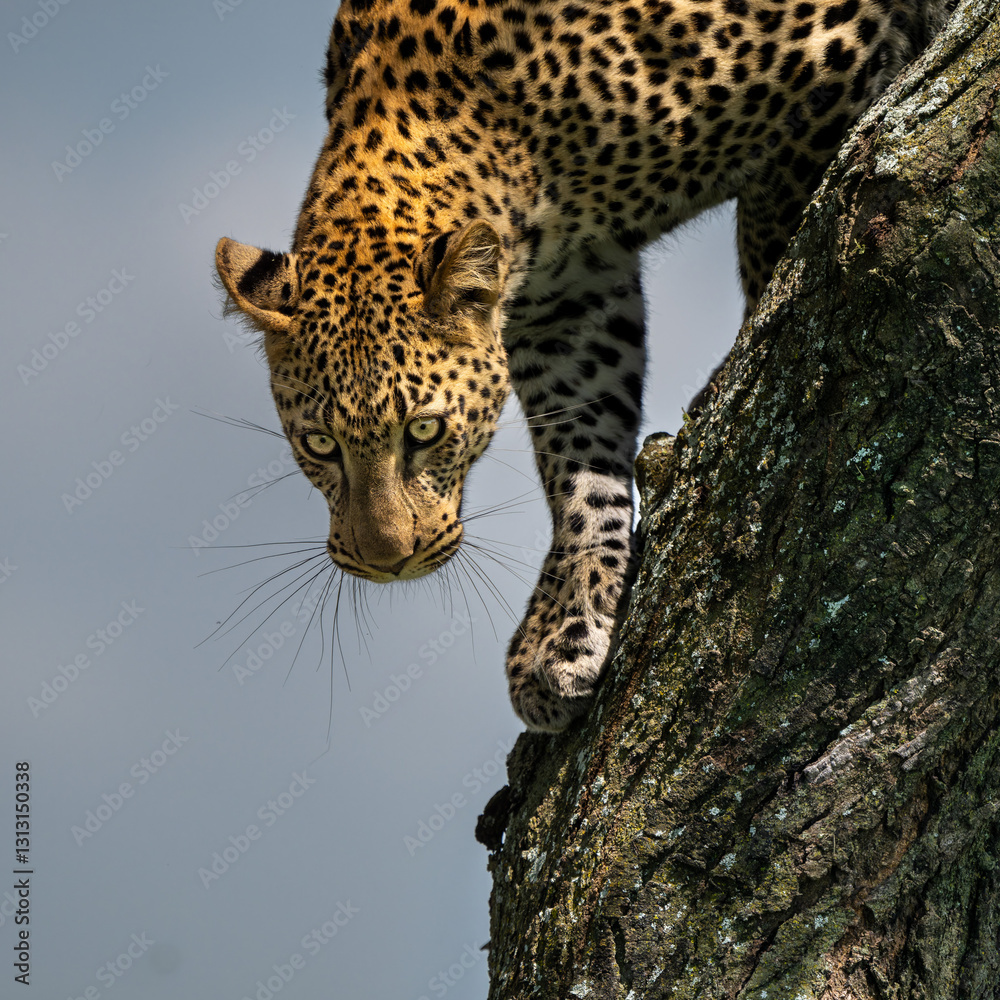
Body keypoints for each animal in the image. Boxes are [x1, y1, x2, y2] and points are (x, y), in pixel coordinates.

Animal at [215, 0, 956, 733]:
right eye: (319, 445)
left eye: (424, 431)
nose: (387, 563)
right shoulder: (569, 296)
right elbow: (577, 448)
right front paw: (568, 623)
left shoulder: (837, 55)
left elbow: (778, 230)